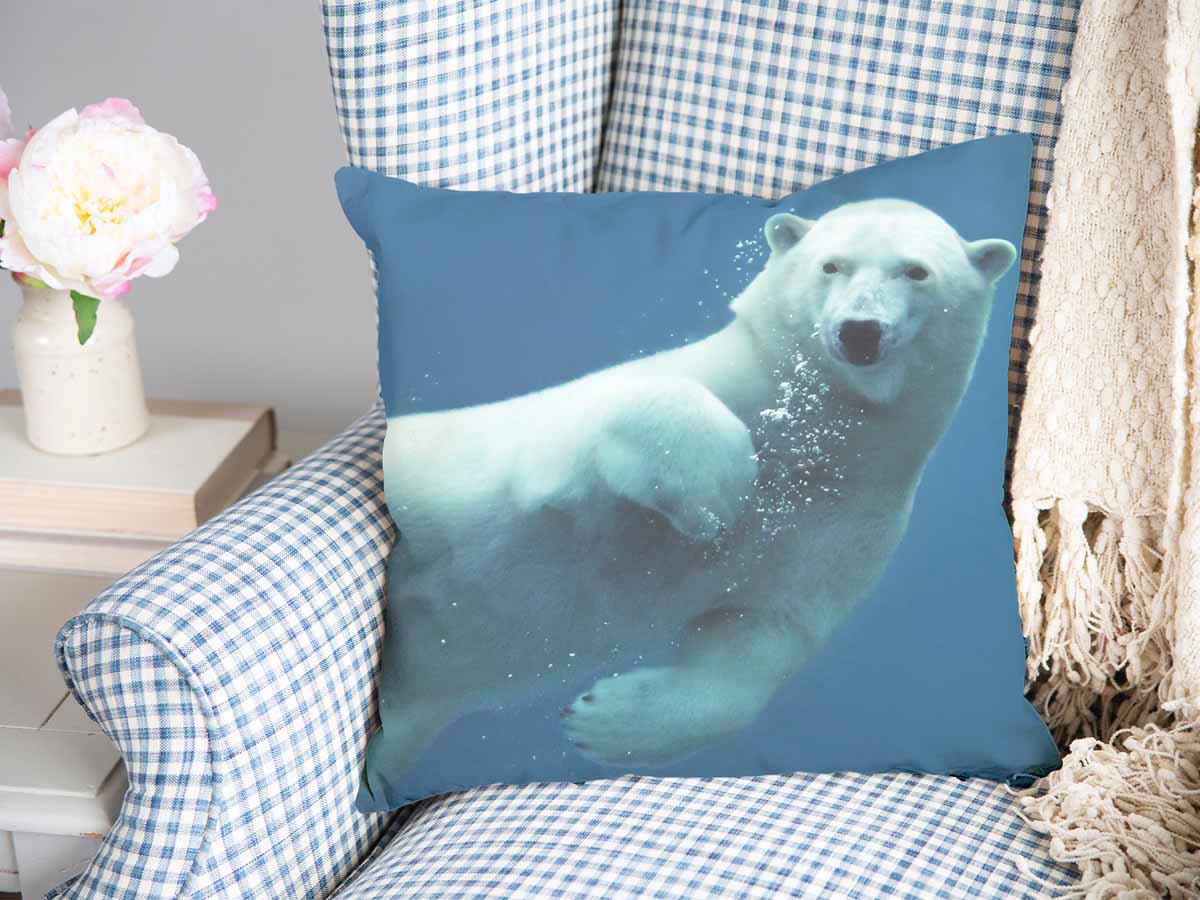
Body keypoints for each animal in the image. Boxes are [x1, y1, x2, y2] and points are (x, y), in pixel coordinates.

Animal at [368, 198, 1017, 780]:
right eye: (831, 265)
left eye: (916, 270)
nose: (860, 332)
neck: (818, 427)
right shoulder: (557, 437)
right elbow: (599, 423)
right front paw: (721, 493)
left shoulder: (851, 515)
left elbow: (761, 633)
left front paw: (602, 720)